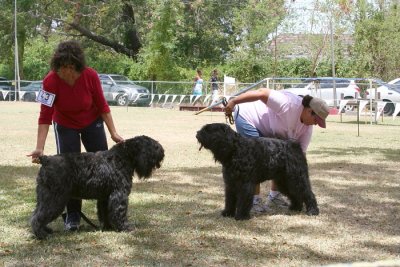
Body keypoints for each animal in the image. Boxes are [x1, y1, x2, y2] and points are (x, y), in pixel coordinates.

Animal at [29, 136, 164, 241]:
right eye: (152, 145)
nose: (162, 151)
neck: (124, 157)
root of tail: (46, 160)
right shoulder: (119, 195)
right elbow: (120, 212)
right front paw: (125, 227)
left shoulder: (105, 197)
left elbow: (105, 212)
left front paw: (108, 227)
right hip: (54, 198)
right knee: (38, 216)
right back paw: (41, 234)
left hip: (44, 196)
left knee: (36, 213)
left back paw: (46, 230)